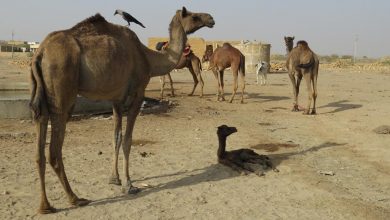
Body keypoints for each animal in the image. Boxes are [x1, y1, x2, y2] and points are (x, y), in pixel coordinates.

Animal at [29, 7, 215, 215]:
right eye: (194, 16)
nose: (211, 18)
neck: (149, 58)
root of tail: (39, 53)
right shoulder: (138, 94)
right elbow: (127, 140)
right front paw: (129, 184)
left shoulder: (116, 100)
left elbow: (116, 137)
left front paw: (114, 178)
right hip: (63, 91)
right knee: (54, 149)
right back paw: (75, 198)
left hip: (41, 96)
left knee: (39, 146)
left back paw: (45, 206)